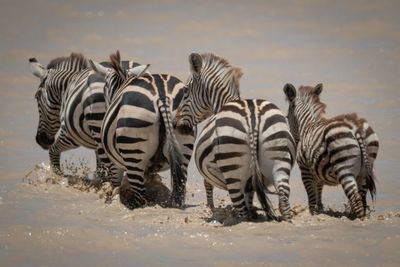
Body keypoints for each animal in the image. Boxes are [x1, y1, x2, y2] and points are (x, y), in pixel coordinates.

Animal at [29, 52, 148, 186]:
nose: (41, 140)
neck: (67, 86)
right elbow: (100, 167)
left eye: (36, 97)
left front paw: (60, 177)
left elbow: (53, 152)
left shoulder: (70, 135)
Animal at [90, 51, 197, 210]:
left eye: (104, 89)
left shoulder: (115, 164)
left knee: (139, 198)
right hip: (184, 144)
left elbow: (115, 185)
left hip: (133, 150)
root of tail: (162, 97)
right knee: (178, 192)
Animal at [173, 52, 296, 222]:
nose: (175, 124)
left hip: (232, 172)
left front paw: (211, 209)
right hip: (279, 157)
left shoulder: (211, 171)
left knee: (241, 211)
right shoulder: (250, 183)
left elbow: (208, 186)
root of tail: (253, 117)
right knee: (284, 202)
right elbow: (250, 197)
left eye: (185, 91)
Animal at [282, 84, 378, 220]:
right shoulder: (318, 170)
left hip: (344, 168)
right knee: (362, 197)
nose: (294, 141)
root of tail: (356, 128)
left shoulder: (305, 170)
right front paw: (320, 209)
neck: (306, 125)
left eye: (287, 117)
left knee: (356, 199)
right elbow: (319, 191)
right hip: (365, 169)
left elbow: (311, 197)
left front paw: (312, 214)